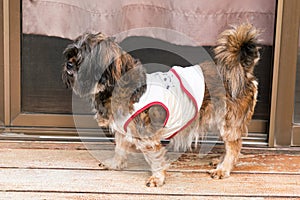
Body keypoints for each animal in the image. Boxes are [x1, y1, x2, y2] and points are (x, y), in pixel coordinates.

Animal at [62, 23, 258, 188]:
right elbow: (119, 149)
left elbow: (155, 159)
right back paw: (220, 162)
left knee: (234, 146)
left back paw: (223, 168)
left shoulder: (147, 138)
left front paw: (157, 178)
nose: (68, 64)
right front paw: (116, 164)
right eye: (71, 54)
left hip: (228, 121)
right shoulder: (123, 130)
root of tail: (241, 71)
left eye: (84, 58)